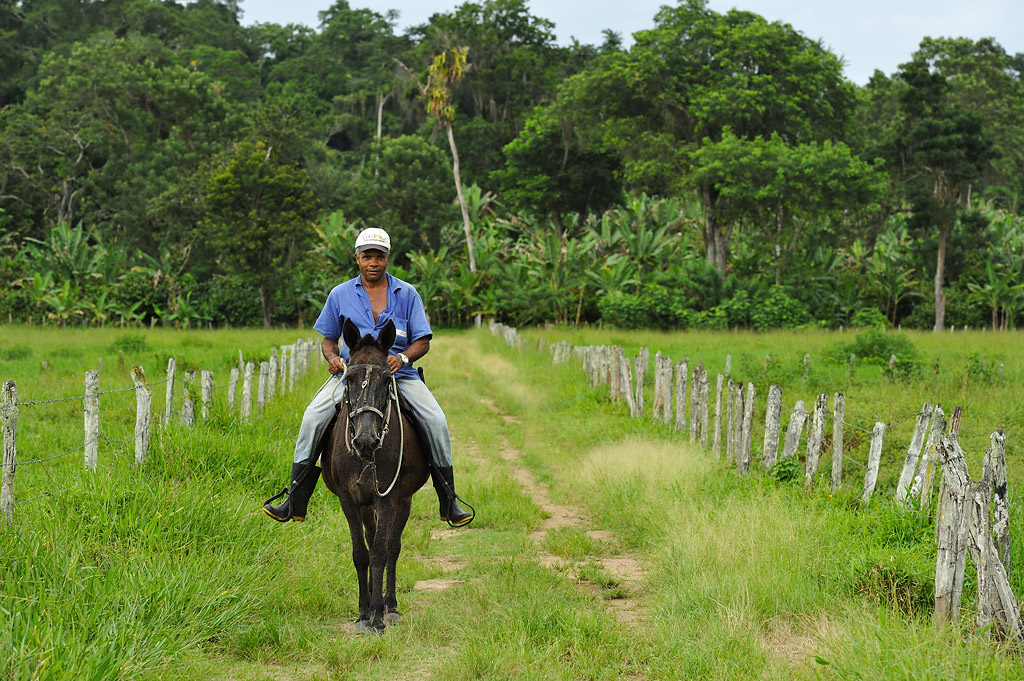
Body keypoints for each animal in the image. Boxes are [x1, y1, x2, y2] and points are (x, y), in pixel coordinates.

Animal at [321, 319, 430, 630]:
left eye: (386, 380)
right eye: (348, 379)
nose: (365, 440)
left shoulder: (388, 497)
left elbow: (381, 551)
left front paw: (379, 617)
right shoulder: (348, 499)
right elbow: (361, 553)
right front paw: (363, 612)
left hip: (402, 500)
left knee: (392, 547)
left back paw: (389, 606)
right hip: (366, 504)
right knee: (370, 542)